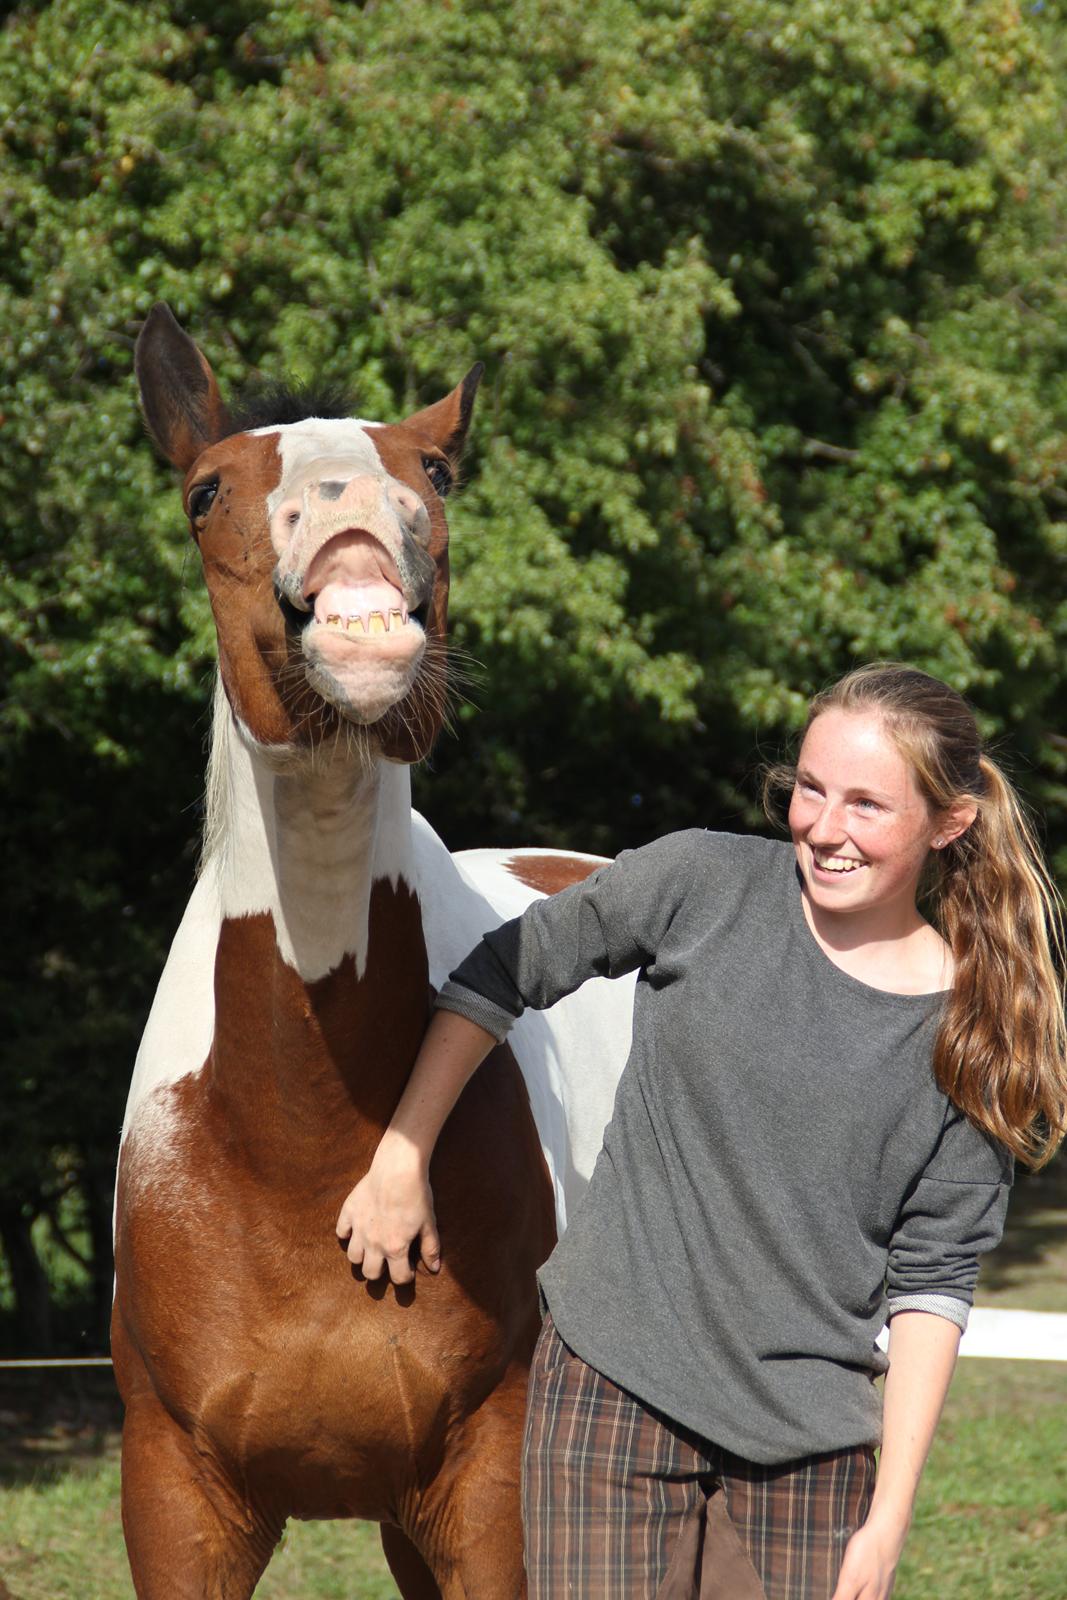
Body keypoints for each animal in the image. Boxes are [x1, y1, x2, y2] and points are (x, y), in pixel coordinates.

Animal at [115, 305, 633, 1593]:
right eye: (205, 491)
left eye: (435, 473)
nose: (353, 505)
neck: (299, 1136)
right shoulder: (176, 1498)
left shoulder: (493, 1488)